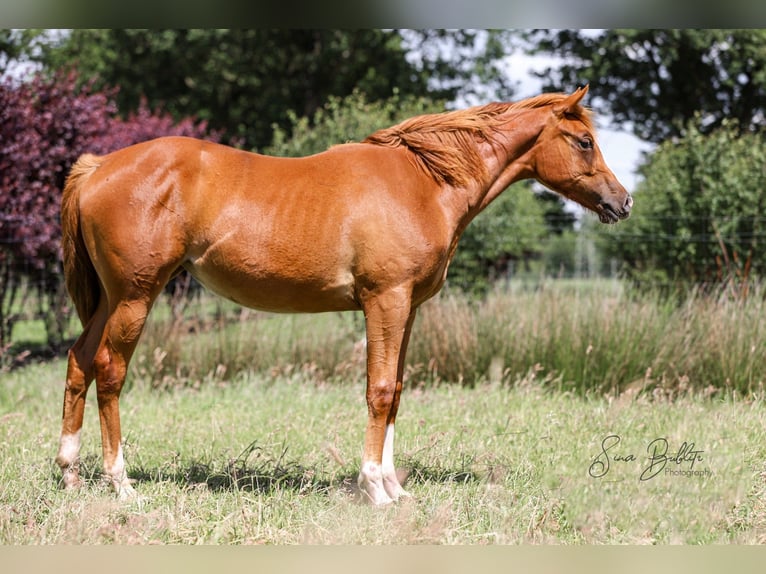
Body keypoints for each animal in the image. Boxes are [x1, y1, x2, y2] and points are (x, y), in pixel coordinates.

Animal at [56, 86, 632, 505]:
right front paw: (375, 489)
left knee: (79, 361)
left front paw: (396, 488)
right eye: (584, 141)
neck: (425, 183)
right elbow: (377, 391)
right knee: (109, 370)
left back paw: (70, 474)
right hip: (135, 296)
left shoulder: (408, 309)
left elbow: (395, 389)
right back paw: (121, 483)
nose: (622, 202)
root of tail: (98, 167)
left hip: (109, 300)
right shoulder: (386, 301)